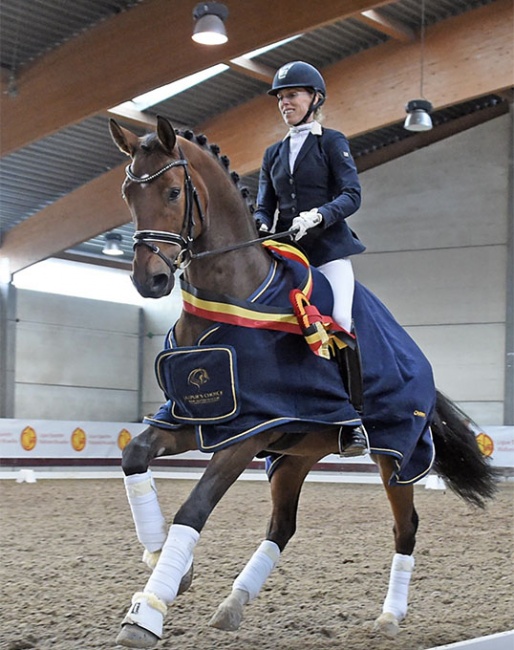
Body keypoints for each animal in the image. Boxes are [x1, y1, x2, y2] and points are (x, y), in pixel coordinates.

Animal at [108, 116, 496, 648]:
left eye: (172, 192)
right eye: (128, 194)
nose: (149, 281)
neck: (231, 295)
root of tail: (418, 356)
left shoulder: (248, 432)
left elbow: (194, 509)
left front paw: (146, 613)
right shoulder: (200, 420)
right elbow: (134, 456)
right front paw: (166, 562)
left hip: (394, 453)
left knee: (406, 527)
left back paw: (389, 618)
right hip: (296, 454)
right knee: (282, 525)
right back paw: (233, 604)